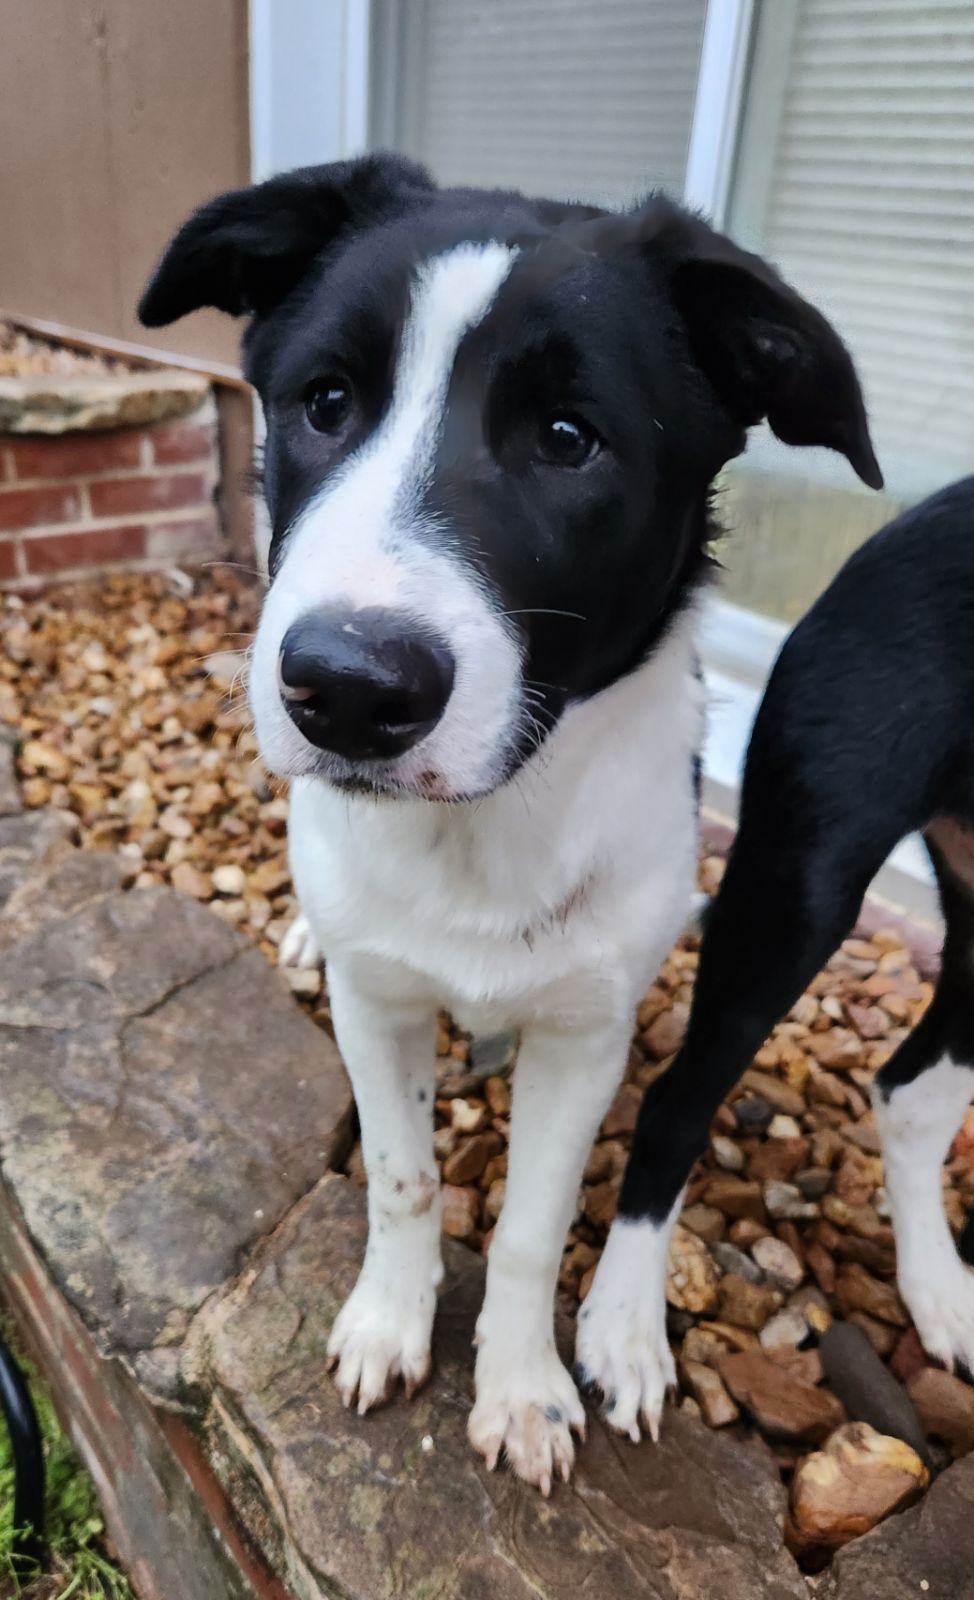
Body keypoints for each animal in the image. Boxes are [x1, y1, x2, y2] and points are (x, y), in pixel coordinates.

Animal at [142, 152, 882, 1484]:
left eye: (567, 440)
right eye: (325, 402)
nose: (345, 689)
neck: (480, 830)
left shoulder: (584, 1035)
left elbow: (534, 1229)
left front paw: (524, 1390)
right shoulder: (378, 1002)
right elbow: (397, 1177)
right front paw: (387, 1324)